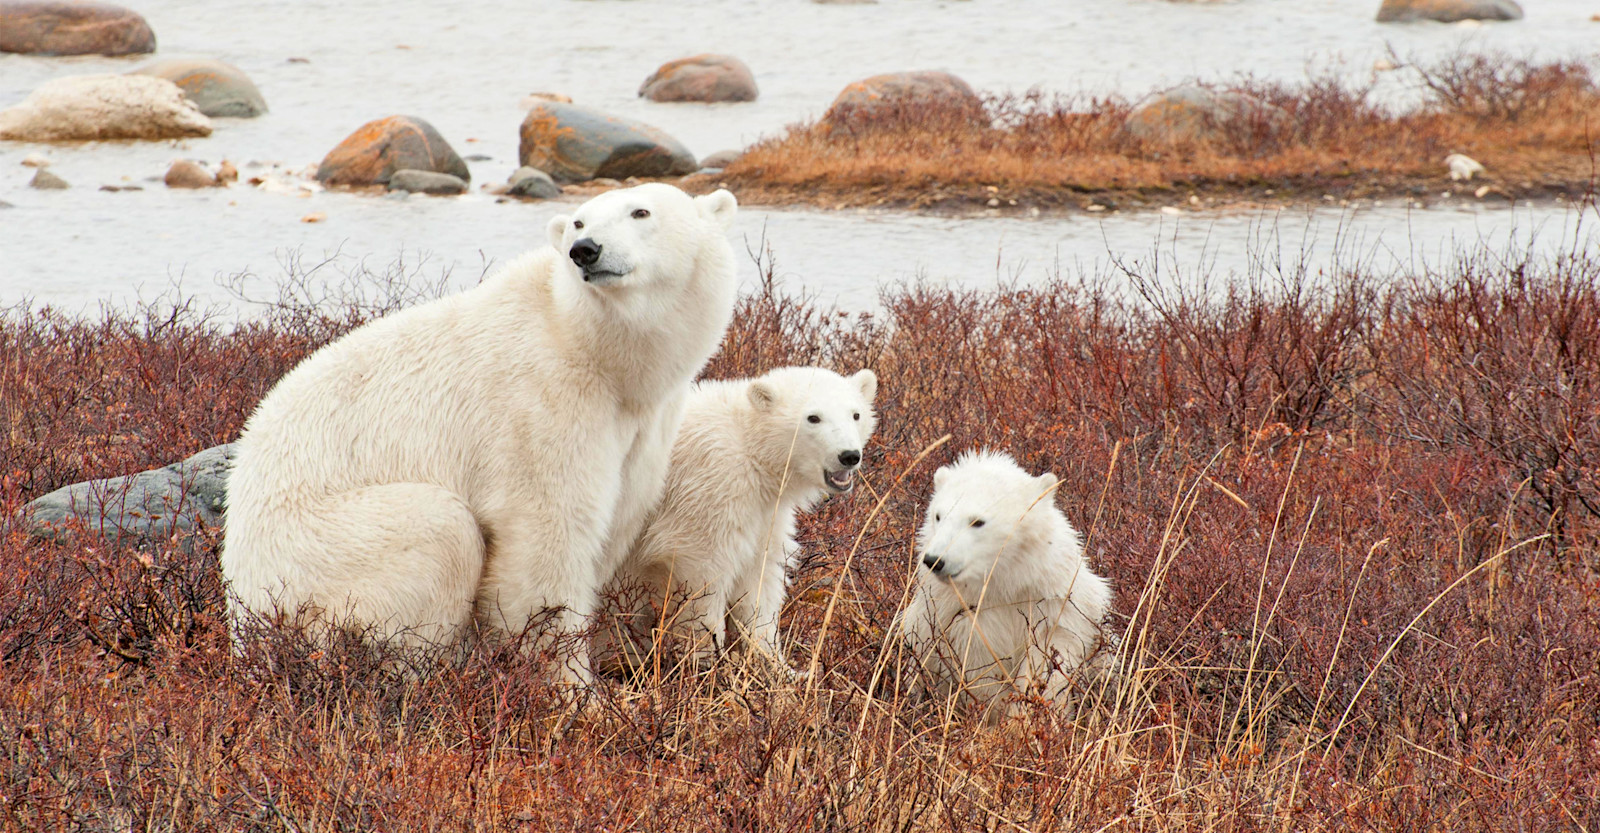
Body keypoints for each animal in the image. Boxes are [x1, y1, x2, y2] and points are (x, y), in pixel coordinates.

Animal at [221, 183, 740, 687]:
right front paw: (572, 690)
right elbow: (545, 537)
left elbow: (616, 516)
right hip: (319, 556)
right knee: (440, 531)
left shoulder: (643, 428)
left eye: (640, 212)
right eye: (579, 221)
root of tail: (244, 625)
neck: (598, 353)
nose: (585, 250)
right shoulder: (539, 403)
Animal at [598, 366, 879, 677]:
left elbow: (759, 580)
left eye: (855, 414)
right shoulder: (712, 488)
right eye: (813, 417)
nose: (849, 456)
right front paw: (709, 664)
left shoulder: (765, 513)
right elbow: (702, 577)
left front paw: (783, 668)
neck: (749, 446)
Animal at [901, 449, 1115, 720]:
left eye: (977, 521)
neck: (1005, 584)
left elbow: (1047, 664)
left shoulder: (1057, 609)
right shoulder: (956, 618)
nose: (935, 560)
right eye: (938, 515)